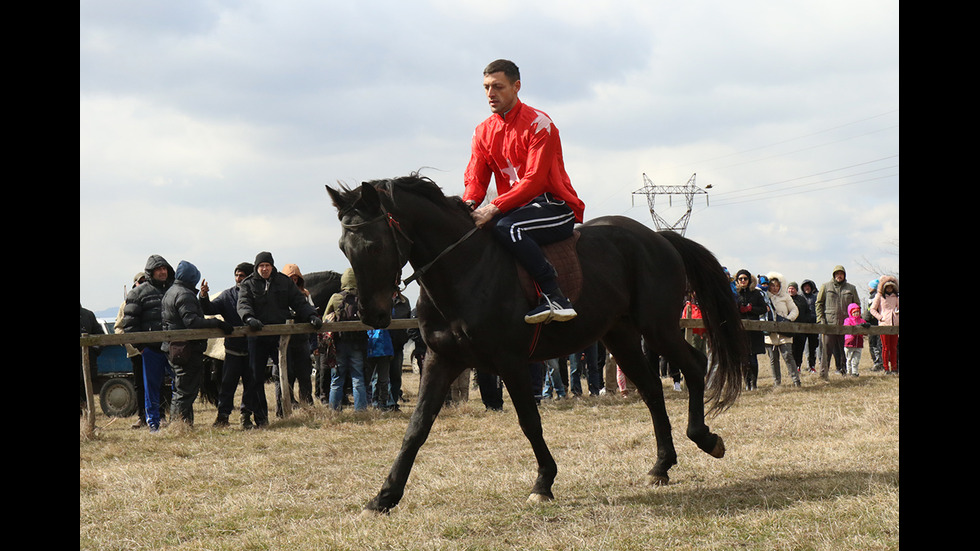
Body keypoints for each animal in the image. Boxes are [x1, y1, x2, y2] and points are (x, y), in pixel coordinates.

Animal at [326, 175, 748, 516]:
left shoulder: (510, 361)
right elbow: (417, 427)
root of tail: (658, 237)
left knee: (694, 365)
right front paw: (384, 497)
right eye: (344, 247)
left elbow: (530, 421)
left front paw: (543, 483)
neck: (464, 269)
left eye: (374, 246)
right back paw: (661, 466)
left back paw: (705, 438)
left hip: (657, 328)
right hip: (621, 337)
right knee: (651, 391)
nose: (372, 316)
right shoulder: (441, 360)